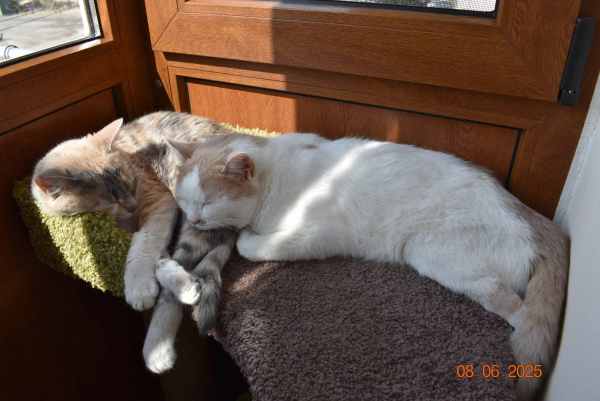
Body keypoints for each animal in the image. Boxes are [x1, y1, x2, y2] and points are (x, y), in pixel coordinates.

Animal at [163, 132, 568, 399]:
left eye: (209, 202)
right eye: (184, 200)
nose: (194, 219)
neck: (274, 179)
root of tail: (532, 216)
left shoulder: (316, 232)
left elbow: (252, 245)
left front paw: (246, 237)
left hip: (435, 254)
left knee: (519, 312)